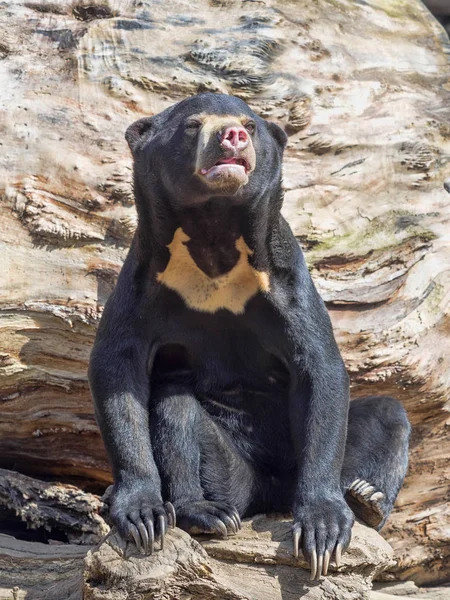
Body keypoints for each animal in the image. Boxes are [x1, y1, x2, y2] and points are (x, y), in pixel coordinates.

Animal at [89, 94, 412, 580]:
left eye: (250, 124)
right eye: (192, 124)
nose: (233, 136)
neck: (214, 239)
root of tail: (270, 495)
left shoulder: (285, 280)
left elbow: (319, 367)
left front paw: (323, 529)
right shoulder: (146, 277)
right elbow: (117, 368)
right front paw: (140, 514)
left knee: (388, 414)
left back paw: (365, 499)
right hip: (230, 475)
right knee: (175, 406)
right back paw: (204, 512)